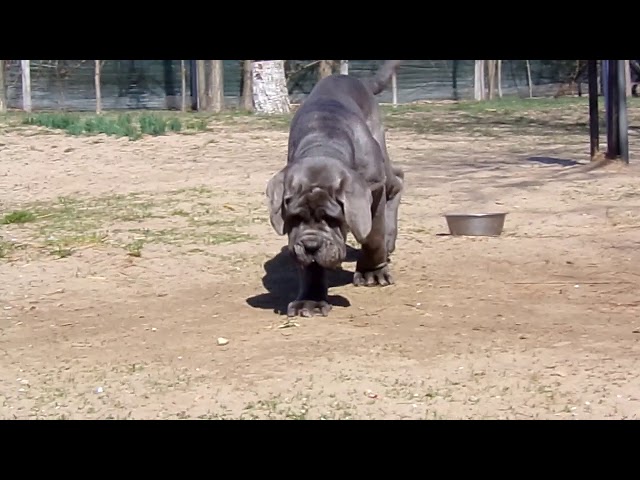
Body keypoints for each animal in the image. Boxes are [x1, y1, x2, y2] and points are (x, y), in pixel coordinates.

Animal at [264, 61, 404, 318]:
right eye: (294, 218)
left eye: (332, 218)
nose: (310, 247)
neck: (323, 143)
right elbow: (311, 268)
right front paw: (310, 300)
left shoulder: (373, 190)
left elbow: (373, 235)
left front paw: (372, 271)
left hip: (382, 158)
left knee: (398, 180)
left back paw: (390, 240)